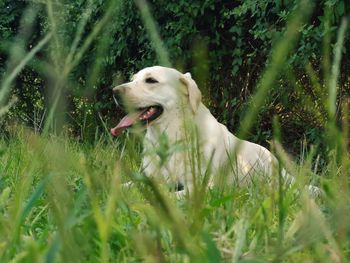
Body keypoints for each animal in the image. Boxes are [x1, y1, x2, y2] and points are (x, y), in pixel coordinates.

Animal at [111, 66, 320, 197]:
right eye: (133, 79)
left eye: (151, 80)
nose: (114, 91)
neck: (171, 138)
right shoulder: (149, 178)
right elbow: (122, 186)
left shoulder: (199, 188)